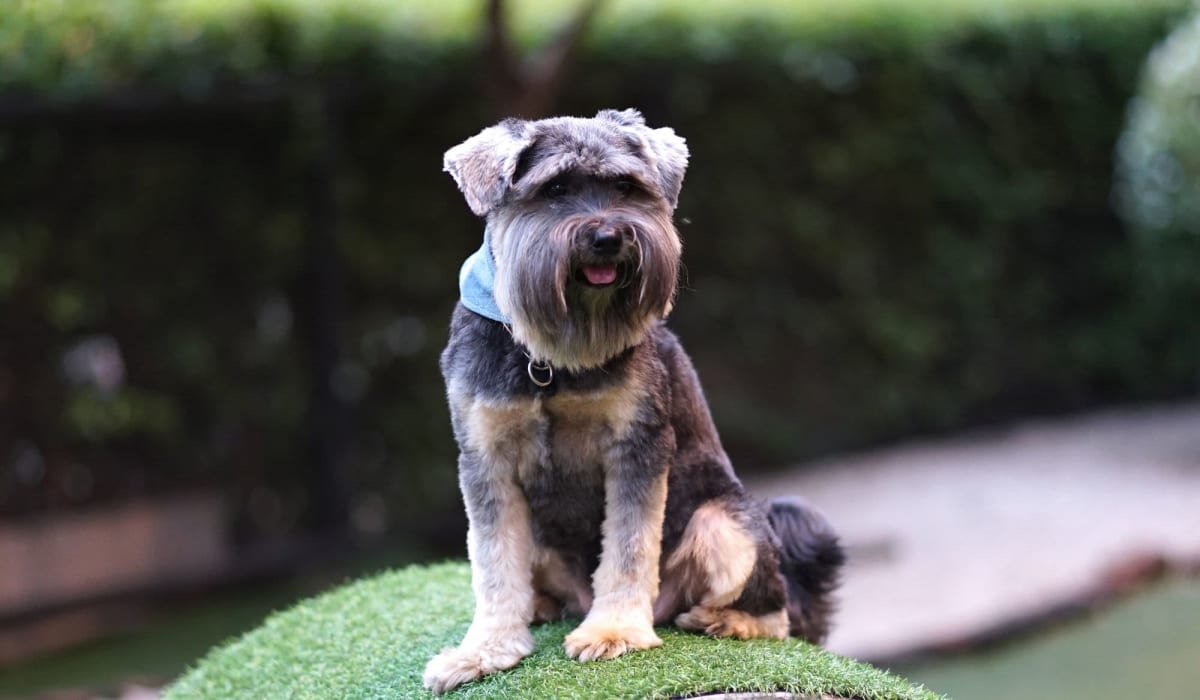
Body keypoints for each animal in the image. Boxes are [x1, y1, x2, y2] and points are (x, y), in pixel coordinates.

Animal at [422, 109, 844, 696]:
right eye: (554, 189)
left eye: (626, 187)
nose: (607, 235)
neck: (550, 356)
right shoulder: (486, 460)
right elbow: (493, 563)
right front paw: (484, 651)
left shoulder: (636, 448)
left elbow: (628, 546)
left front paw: (615, 631)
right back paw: (542, 606)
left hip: (727, 525)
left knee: (776, 617)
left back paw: (719, 619)